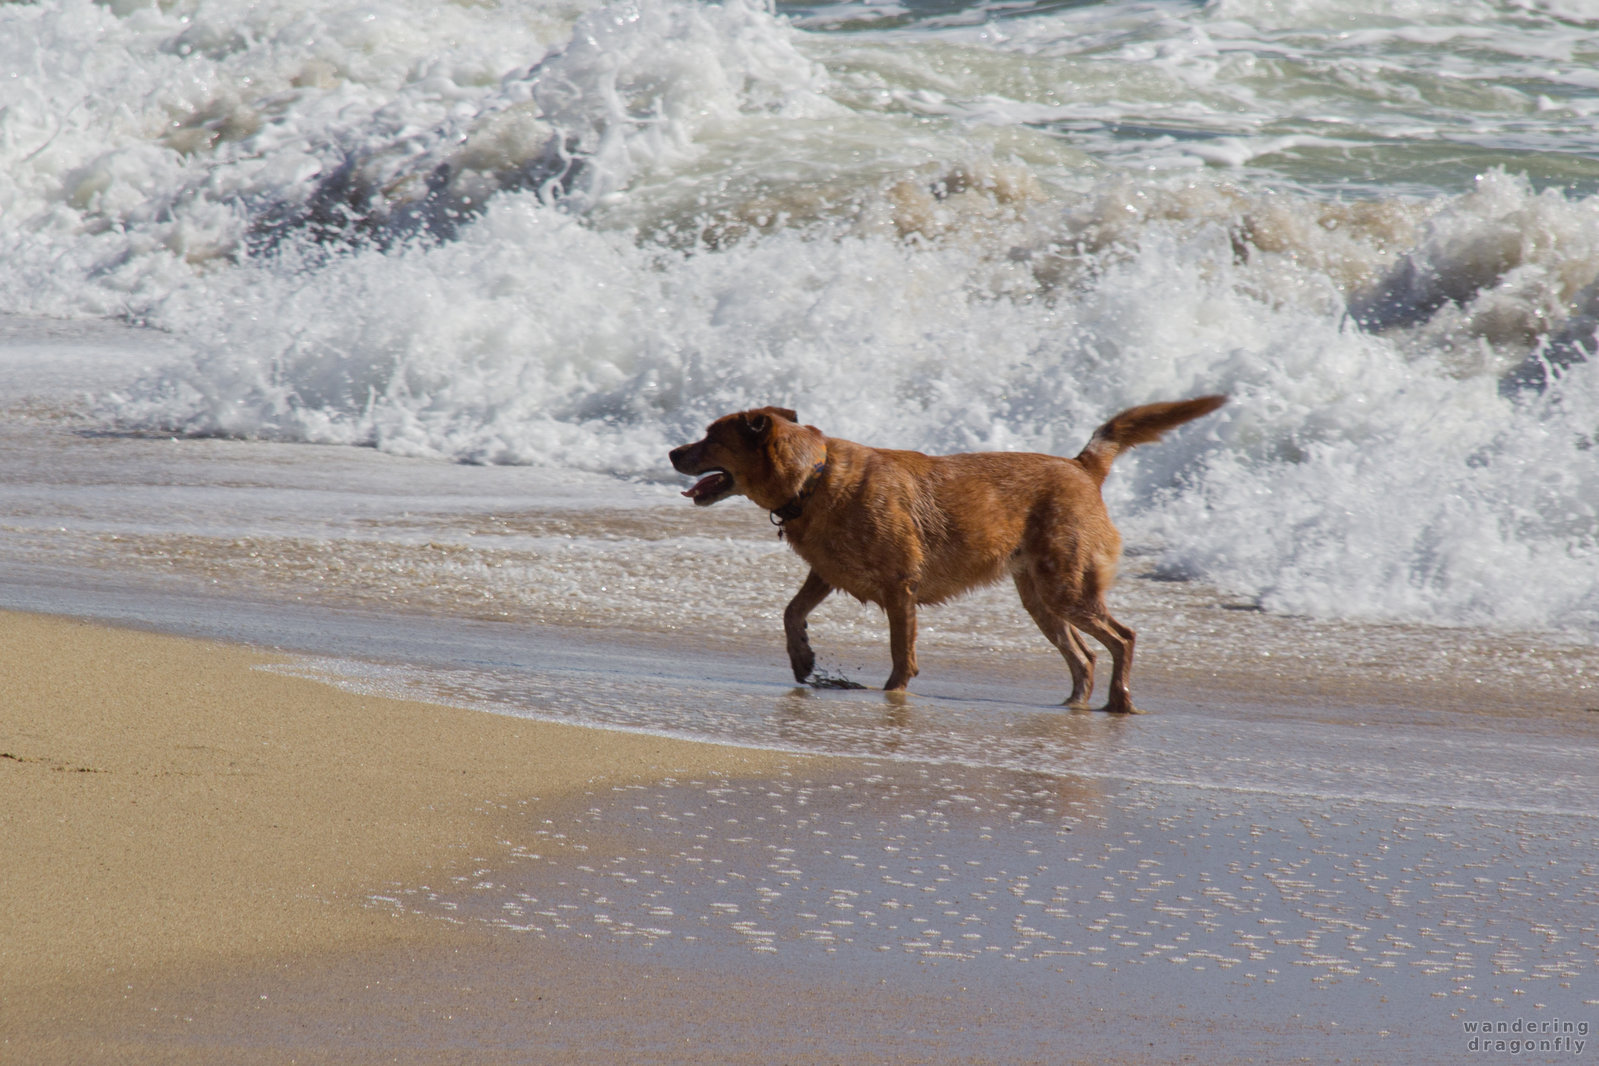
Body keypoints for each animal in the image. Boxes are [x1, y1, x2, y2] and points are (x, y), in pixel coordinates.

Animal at [668, 396, 1228, 712]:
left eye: (711, 438)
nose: (672, 452)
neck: (815, 479)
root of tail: (1082, 466)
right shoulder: (826, 573)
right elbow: (790, 612)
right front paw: (803, 657)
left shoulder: (900, 588)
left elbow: (902, 655)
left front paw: (893, 693)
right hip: (1040, 598)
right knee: (1085, 655)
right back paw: (1074, 704)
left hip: (1065, 587)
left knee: (1122, 637)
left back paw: (1119, 702)